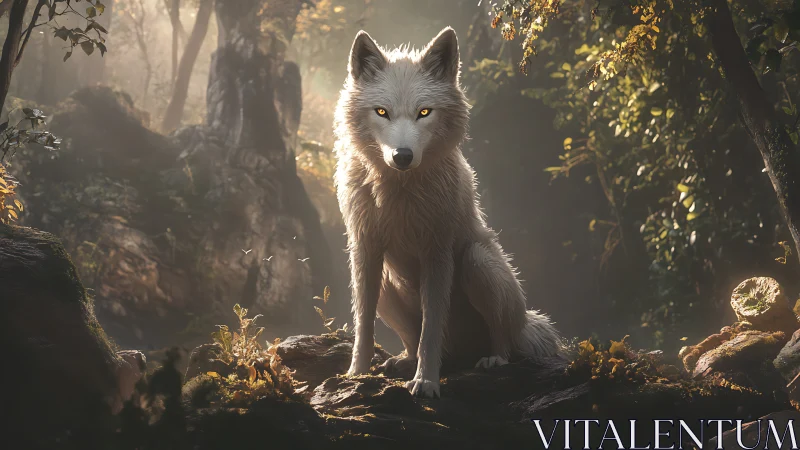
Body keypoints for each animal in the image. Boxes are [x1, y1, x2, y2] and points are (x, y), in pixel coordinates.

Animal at [332, 26, 564, 398]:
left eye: (424, 112)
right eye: (381, 112)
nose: (402, 156)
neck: (399, 191)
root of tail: (528, 324)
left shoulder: (436, 252)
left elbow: (431, 328)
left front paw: (426, 381)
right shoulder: (365, 249)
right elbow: (364, 325)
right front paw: (356, 374)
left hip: (477, 262)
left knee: (503, 340)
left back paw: (492, 359)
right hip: (386, 283)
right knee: (413, 340)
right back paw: (404, 361)